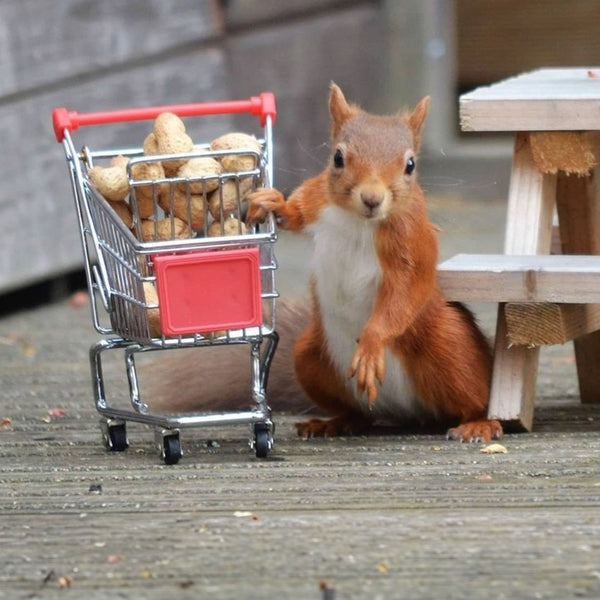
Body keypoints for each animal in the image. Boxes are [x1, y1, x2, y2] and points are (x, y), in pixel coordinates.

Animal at [245, 83, 502, 440]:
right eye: (338, 158)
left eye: (410, 165)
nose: (372, 198)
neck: (359, 221)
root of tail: (408, 411)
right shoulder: (319, 197)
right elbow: (297, 214)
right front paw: (273, 202)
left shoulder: (411, 240)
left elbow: (405, 291)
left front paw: (370, 344)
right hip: (309, 357)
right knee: (359, 414)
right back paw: (333, 422)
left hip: (451, 345)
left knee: (476, 396)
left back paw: (480, 423)